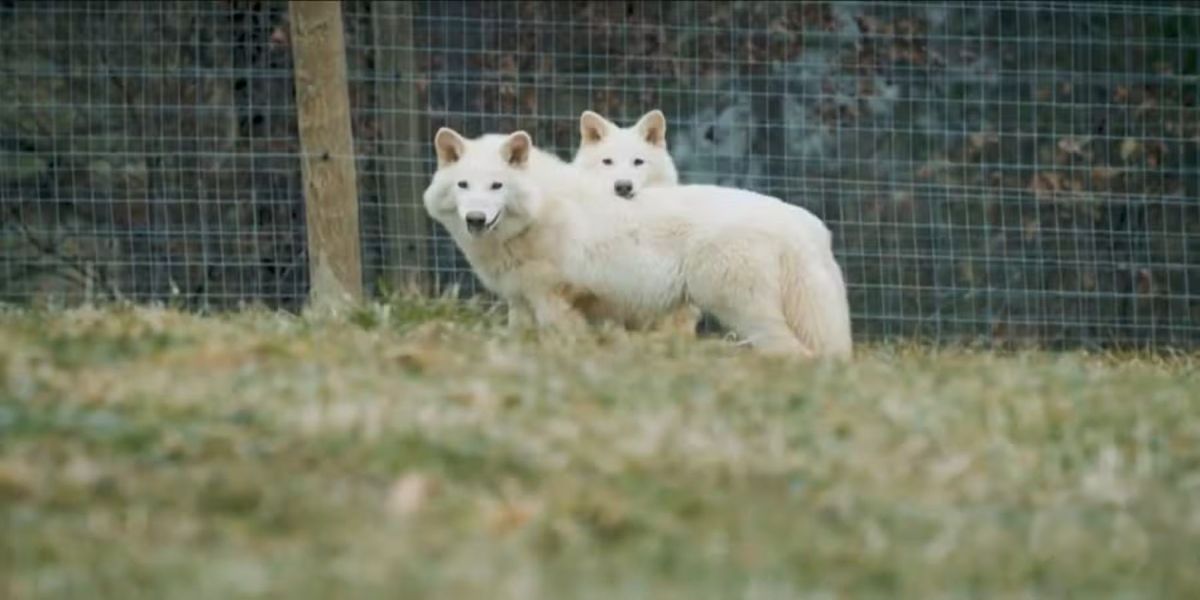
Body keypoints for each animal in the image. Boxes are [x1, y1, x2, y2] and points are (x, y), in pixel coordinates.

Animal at [422, 126, 853, 359]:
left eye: (496, 186)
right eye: (463, 185)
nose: (476, 219)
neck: (540, 209)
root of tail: (799, 220)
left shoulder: (554, 304)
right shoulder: (521, 304)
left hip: (741, 311)